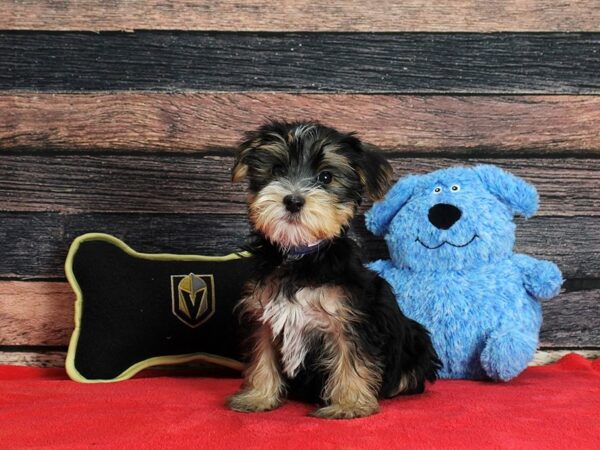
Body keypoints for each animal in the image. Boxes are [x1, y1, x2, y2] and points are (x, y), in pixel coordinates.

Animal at [227, 120, 438, 418]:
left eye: (326, 177)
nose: (293, 201)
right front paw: (258, 396)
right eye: (277, 169)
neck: (300, 256)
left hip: (417, 340)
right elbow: (262, 355)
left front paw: (349, 405)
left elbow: (351, 359)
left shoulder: (350, 318)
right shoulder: (264, 315)